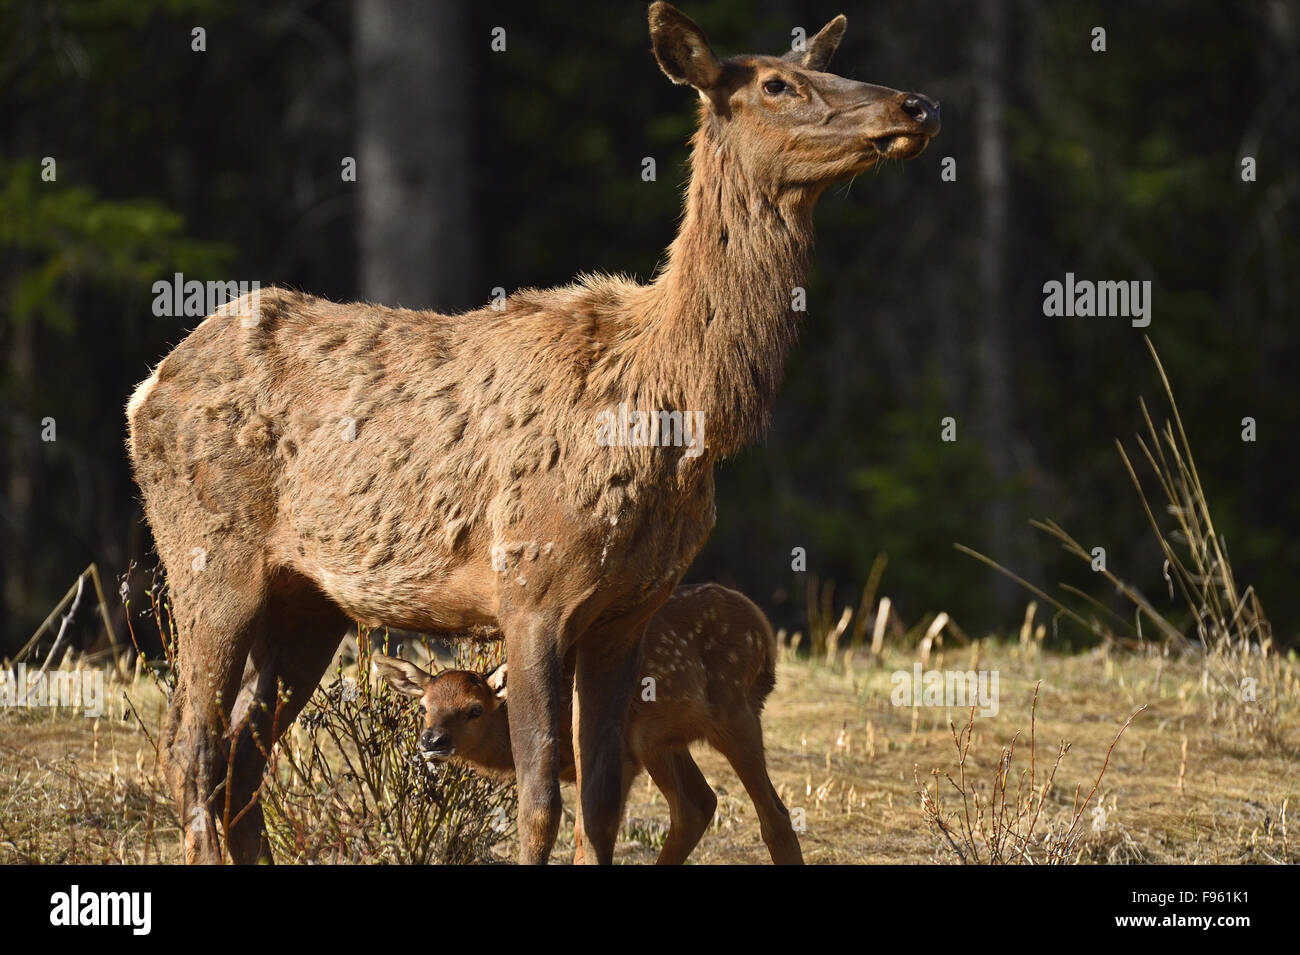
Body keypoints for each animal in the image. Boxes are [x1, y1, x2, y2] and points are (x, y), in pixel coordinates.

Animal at [377, 582, 800, 867]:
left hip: (734, 710)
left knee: (775, 817)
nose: (433, 740)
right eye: (424, 706)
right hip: (659, 740)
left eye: (474, 709)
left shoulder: (618, 757)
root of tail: (761, 625)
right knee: (697, 805)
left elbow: (588, 829)